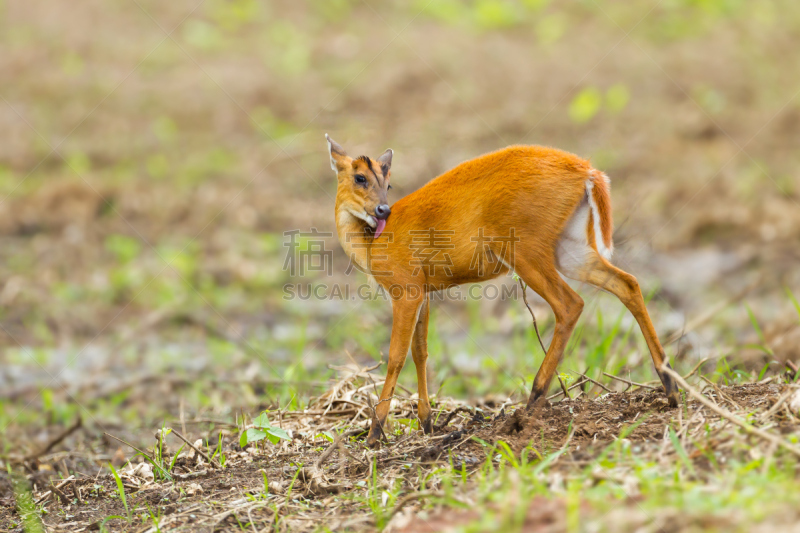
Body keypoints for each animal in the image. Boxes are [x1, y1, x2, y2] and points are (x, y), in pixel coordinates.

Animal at [328, 133, 680, 444]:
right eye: (359, 177)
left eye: (387, 182)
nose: (382, 211)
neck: (371, 242)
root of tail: (588, 170)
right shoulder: (423, 294)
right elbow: (421, 353)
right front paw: (427, 424)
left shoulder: (405, 291)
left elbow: (396, 356)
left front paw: (375, 433)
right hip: (569, 251)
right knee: (628, 283)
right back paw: (671, 389)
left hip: (525, 252)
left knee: (571, 304)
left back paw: (532, 402)